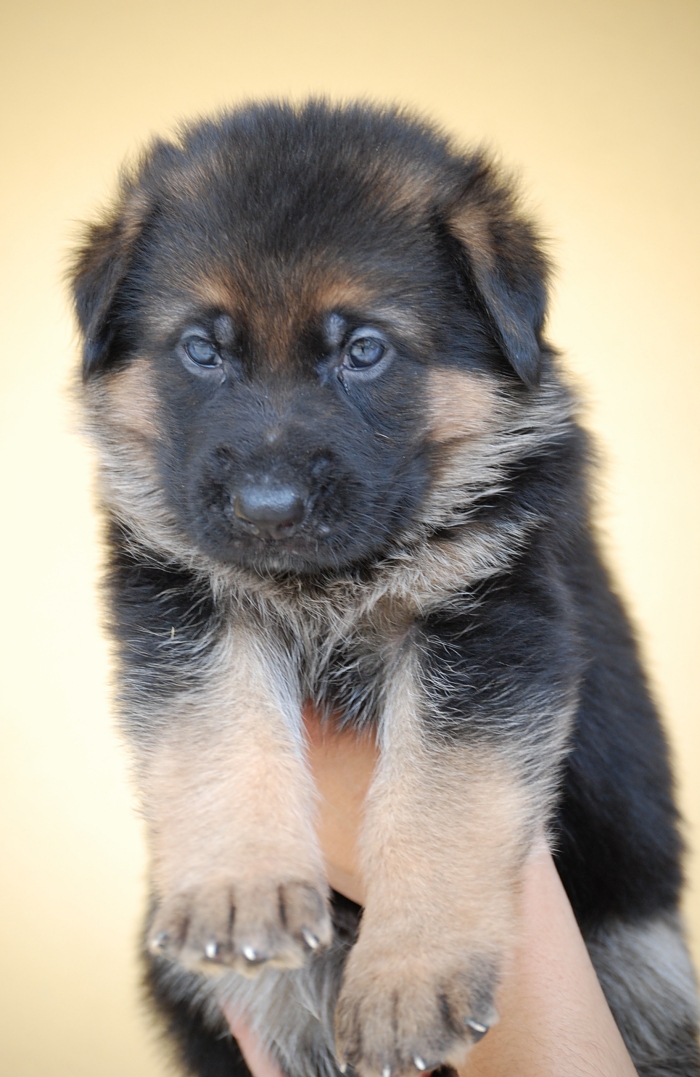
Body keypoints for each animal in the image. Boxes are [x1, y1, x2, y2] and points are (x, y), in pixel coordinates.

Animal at [72, 102, 697, 1077]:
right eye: (202, 350)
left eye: (364, 350)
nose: (266, 509)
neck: (326, 582)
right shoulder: (185, 605)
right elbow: (220, 731)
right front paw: (239, 888)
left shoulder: (492, 625)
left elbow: (439, 799)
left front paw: (408, 976)